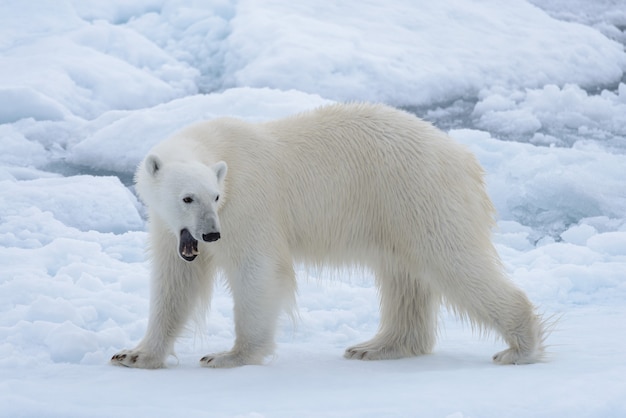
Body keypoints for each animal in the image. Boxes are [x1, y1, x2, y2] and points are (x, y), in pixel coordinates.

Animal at [109, 102, 544, 370]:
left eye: (214, 196)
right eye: (187, 198)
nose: (211, 234)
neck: (217, 145)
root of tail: (466, 158)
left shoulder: (248, 202)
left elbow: (257, 270)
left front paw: (229, 355)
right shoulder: (169, 228)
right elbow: (175, 283)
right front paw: (135, 355)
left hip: (419, 194)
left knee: (453, 260)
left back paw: (519, 348)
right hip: (396, 211)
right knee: (404, 278)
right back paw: (376, 346)